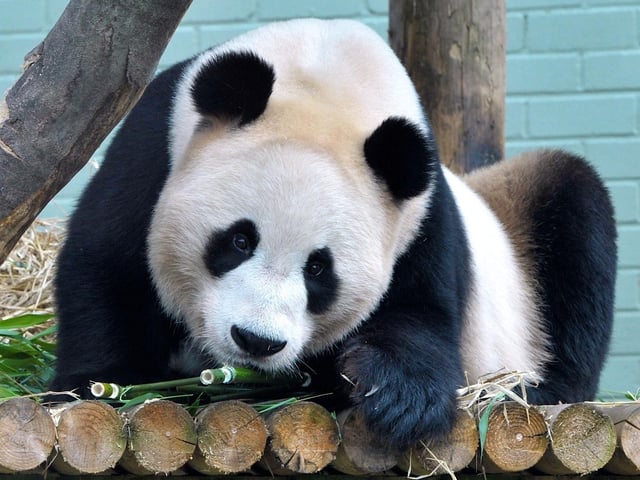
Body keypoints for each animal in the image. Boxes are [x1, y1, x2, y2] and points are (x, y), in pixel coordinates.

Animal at [51, 18, 617, 449]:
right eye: (238, 241)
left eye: (319, 269)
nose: (255, 341)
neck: (326, 79)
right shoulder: (152, 149)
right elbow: (108, 268)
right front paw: (96, 386)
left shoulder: (418, 219)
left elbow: (421, 318)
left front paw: (395, 398)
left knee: (578, 219)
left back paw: (543, 391)